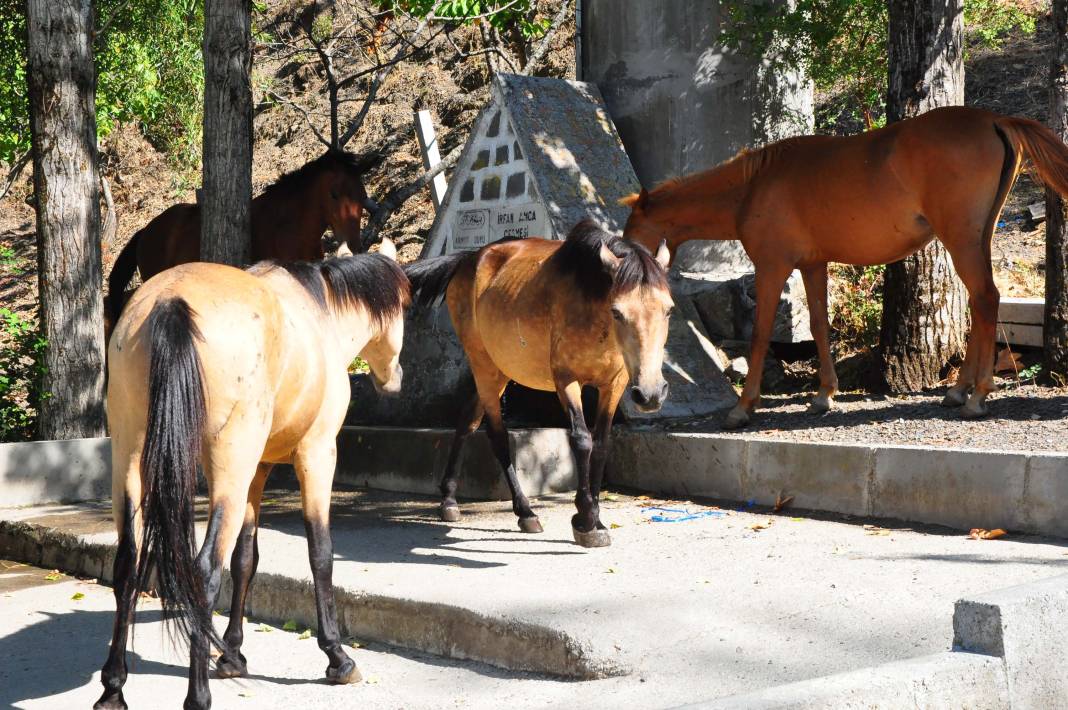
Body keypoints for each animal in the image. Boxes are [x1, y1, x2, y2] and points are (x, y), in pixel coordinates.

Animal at [96, 239, 407, 708]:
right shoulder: (316, 454)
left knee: (127, 565)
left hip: (132, 459)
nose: (395, 380)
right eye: (406, 305)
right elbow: (320, 553)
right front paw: (337, 657)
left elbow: (245, 559)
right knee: (204, 570)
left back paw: (114, 688)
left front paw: (232, 654)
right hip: (230, 464)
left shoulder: (256, 472)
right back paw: (197, 696)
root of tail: (170, 303)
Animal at [403, 222, 670, 546]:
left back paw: (449, 499)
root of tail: (468, 260)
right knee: (497, 436)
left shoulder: (614, 385)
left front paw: (597, 519)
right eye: (617, 312)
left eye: (668, 309)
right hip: (483, 366)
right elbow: (582, 440)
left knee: (468, 420)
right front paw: (585, 519)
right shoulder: (566, 380)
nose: (651, 394)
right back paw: (525, 512)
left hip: (499, 371)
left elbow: (602, 444)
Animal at [623, 105, 1068, 427]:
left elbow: (761, 333)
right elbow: (820, 325)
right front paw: (824, 395)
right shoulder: (813, 265)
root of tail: (993, 119)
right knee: (979, 303)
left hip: (961, 240)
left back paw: (976, 397)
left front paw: (743, 407)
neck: (753, 185)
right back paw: (959, 390)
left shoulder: (771, 267)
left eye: (630, 238)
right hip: (976, 239)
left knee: (986, 298)